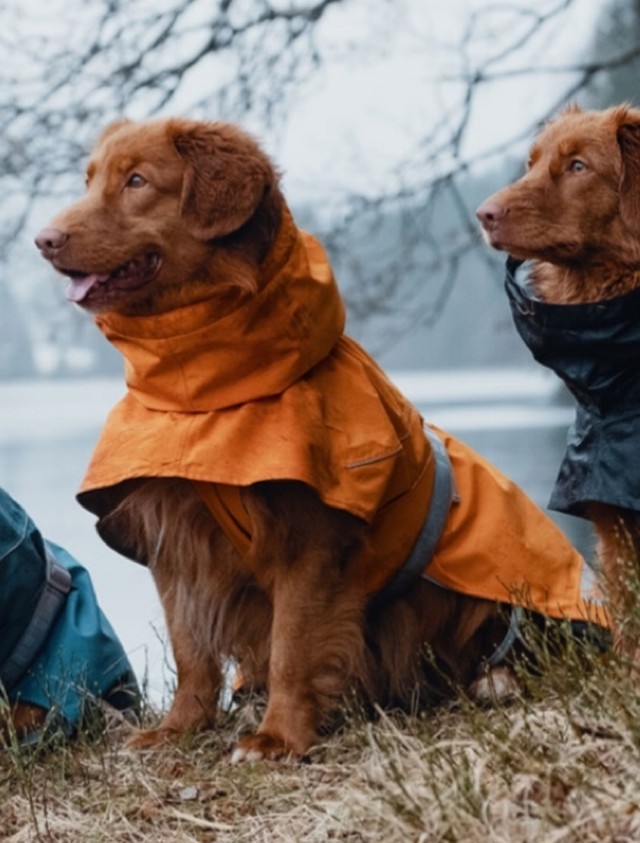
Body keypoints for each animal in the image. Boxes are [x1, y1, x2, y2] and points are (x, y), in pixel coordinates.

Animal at [36, 117, 604, 760]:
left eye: (136, 181)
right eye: (88, 180)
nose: (43, 239)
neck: (210, 395)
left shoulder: (309, 541)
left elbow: (291, 646)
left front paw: (276, 738)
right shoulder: (175, 541)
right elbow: (192, 652)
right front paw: (180, 728)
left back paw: (494, 679)